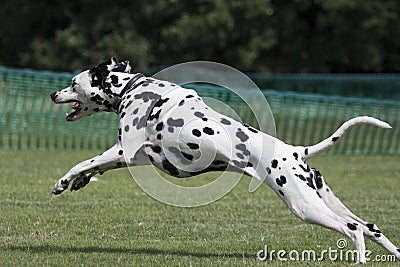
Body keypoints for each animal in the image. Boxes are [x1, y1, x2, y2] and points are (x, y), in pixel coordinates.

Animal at [50, 58, 400, 264]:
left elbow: (82, 163)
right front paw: (79, 182)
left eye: (73, 82)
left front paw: (63, 181)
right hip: (325, 201)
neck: (134, 89)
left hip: (306, 207)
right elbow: (94, 167)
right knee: (371, 227)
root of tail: (296, 151)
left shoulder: (123, 149)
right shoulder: (136, 158)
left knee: (353, 229)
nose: (53, 94)